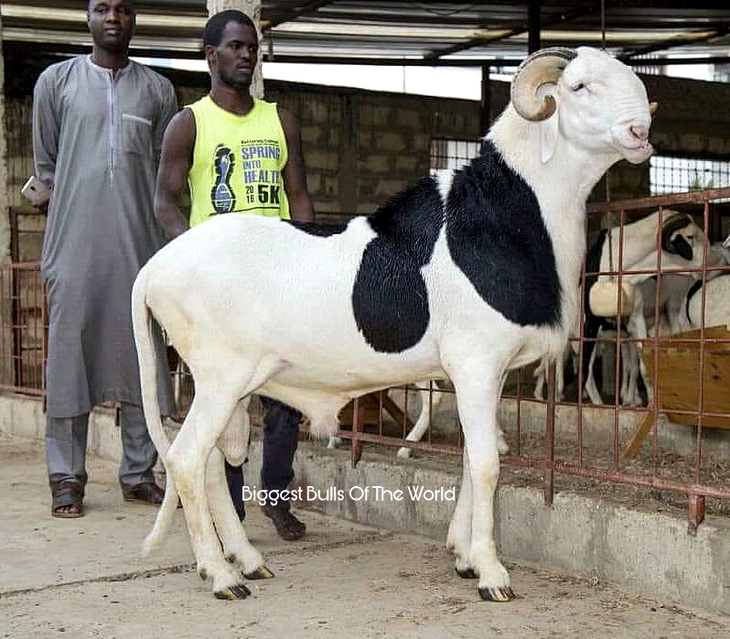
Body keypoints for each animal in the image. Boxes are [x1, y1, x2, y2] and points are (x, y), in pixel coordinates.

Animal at [132, 46, 656, 602]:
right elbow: (487, 464)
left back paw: (247, 562)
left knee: (213, 462)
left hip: (227, 385)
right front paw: (492, 573)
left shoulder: (481, 373)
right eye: (579, 86)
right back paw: (222, 576)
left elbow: (470, 458)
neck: (507, 218)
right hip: (220, 377)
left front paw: (464, 556)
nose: (640, 130)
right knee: (188, 459)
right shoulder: (477, 363)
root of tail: (155, 267)